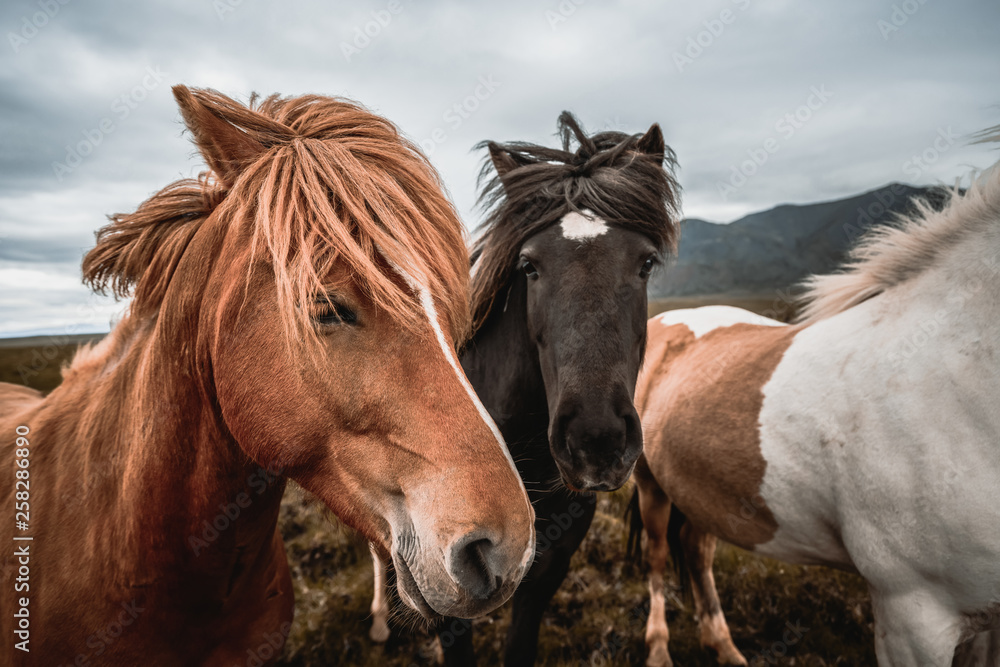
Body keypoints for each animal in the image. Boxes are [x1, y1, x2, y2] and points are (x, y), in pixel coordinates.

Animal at [632, 150, 1000, 664]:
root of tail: (664, 320)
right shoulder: (912, 614)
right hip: (651, 484)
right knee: (658, 557)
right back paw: (660, 649)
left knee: (696, 552)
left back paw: (723, 646)